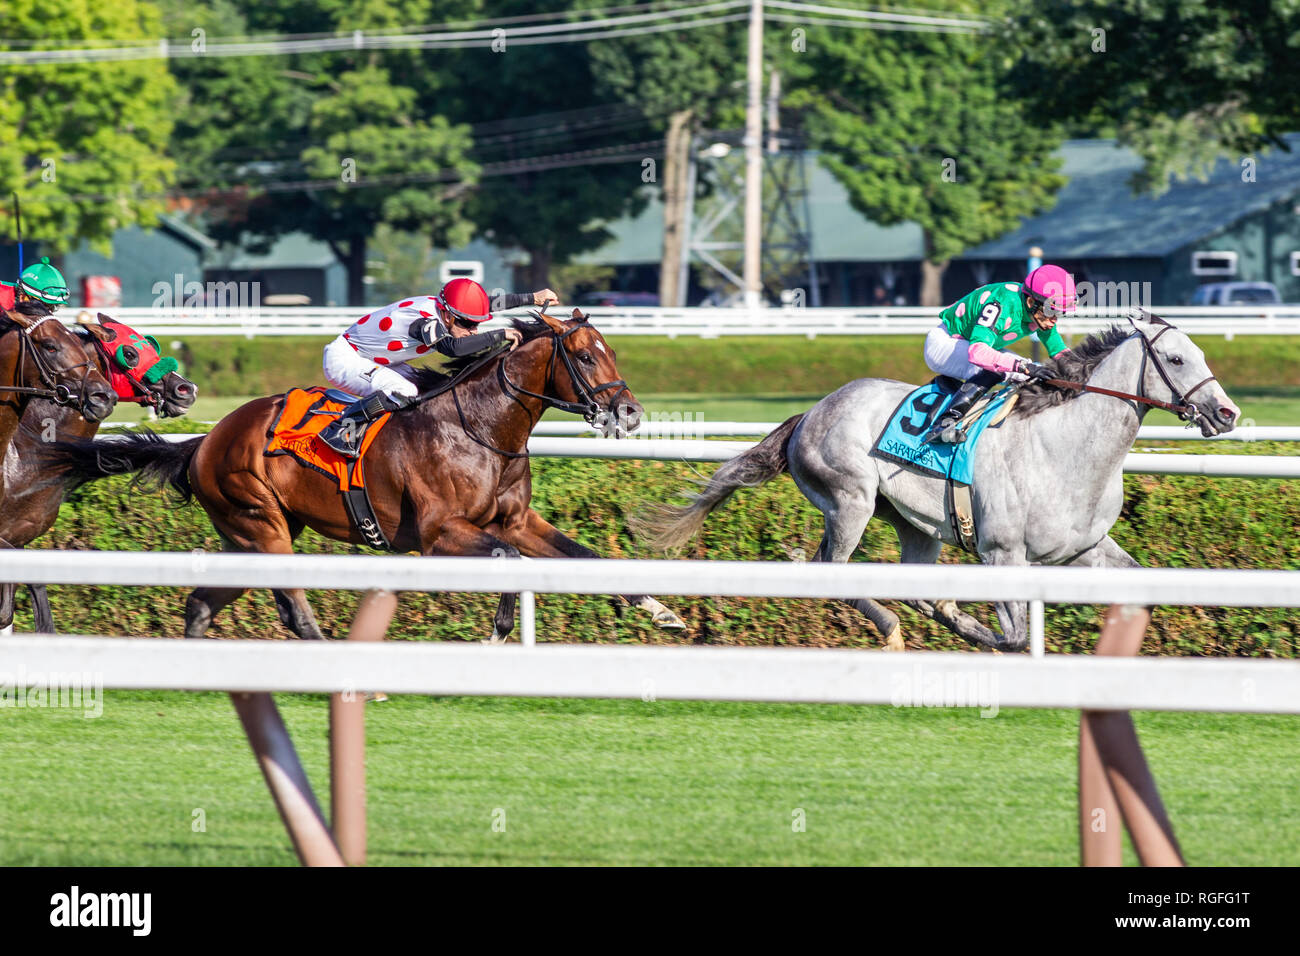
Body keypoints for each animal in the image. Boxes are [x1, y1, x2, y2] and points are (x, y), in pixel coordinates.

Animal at [43, 309, 685, 641]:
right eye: (585, 355)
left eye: (612, 351)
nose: (630, 411)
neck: (482, 430)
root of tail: (206, 440)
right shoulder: (440, 535)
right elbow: (507, 562)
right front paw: (497, 632)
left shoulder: (518, 520)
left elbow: (587, 559)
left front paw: (663, 611)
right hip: (262, 526)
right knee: (292, 609)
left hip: (249, 534)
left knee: (201, 603)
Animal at [632, 313, 1240, 651]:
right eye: (1176, 359)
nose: (1227, 413)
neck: (1065, 446)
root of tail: (810, 413)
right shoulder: (1002, 554)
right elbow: (1015, 636)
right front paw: (979, 632)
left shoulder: (1084, 549)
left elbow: (1138, 589)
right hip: (850, 501)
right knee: (832, 571)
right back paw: (896, 627)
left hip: (913, 525)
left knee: (910, 581)